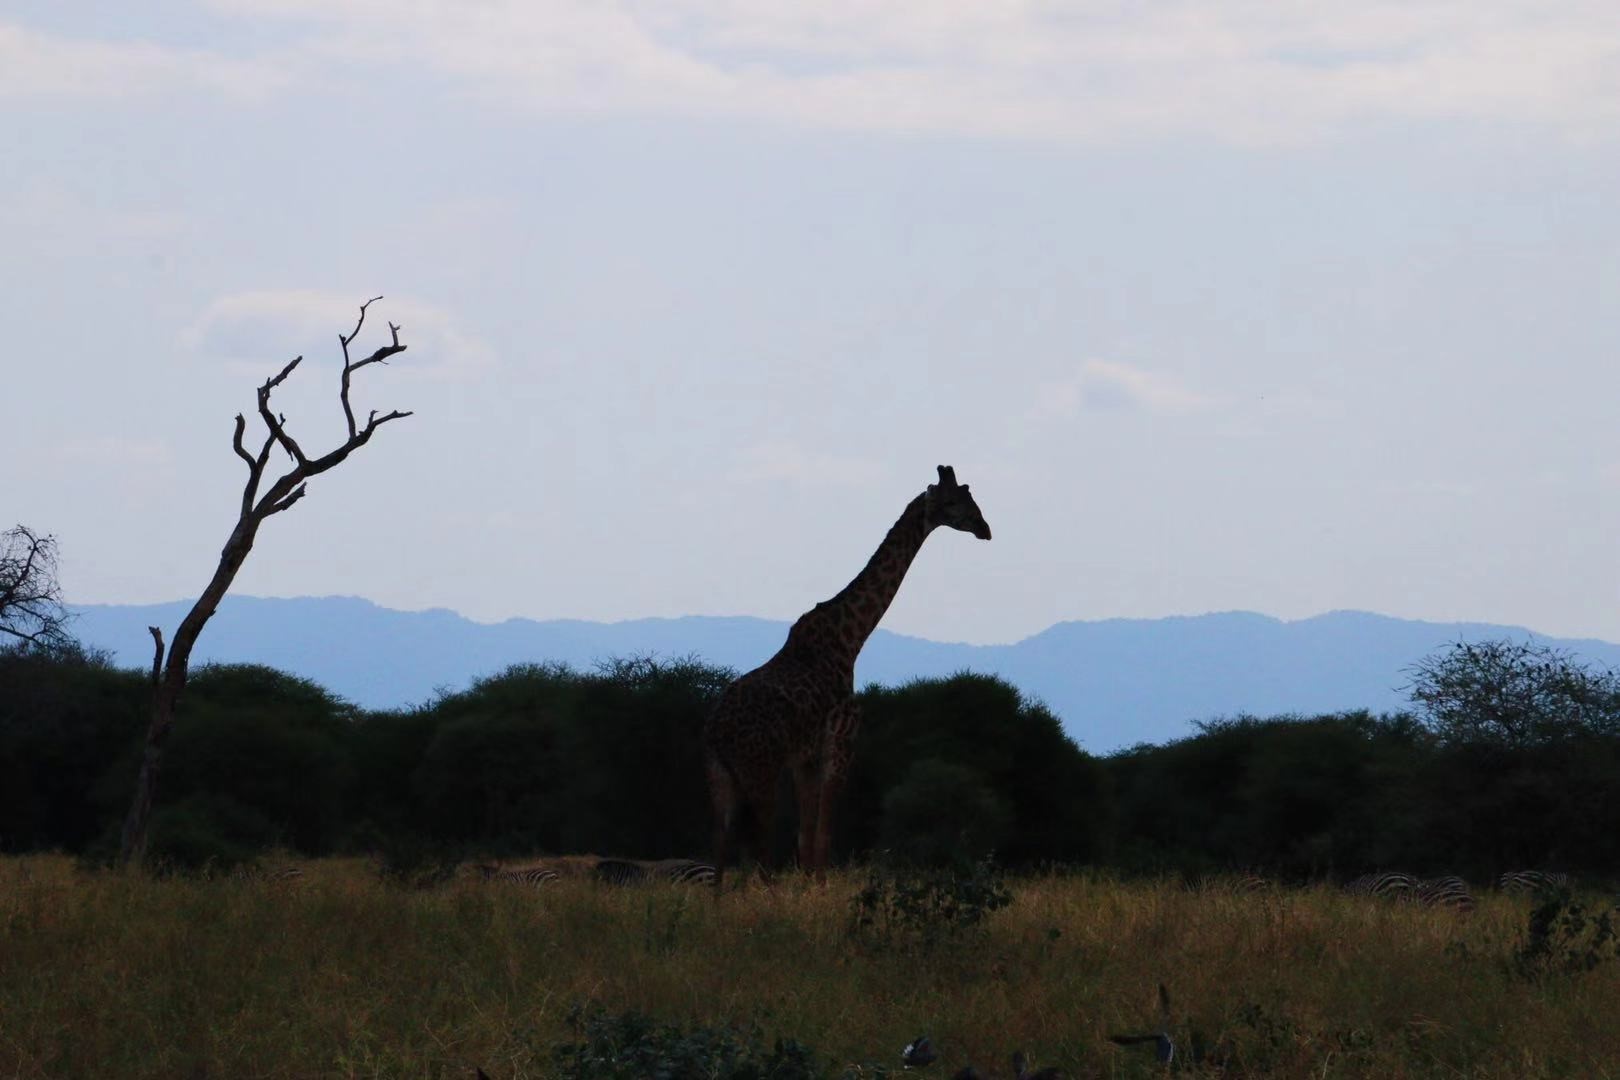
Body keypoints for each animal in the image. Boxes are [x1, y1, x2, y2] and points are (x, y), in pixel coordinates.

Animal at [706, 466, 991, 887]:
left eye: (972, 499)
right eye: (955, 502)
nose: (985, 528)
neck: (851, 639)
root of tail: (716, 731)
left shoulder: (805, 758)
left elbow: (806, 838)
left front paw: (808, 890)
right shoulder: (839, 744)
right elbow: (822, 837)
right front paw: (817, 893)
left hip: (723, 776)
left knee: (723, 845)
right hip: (760, 770)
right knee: (758, 847)